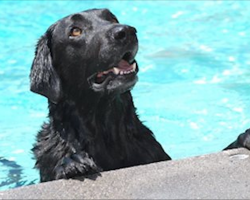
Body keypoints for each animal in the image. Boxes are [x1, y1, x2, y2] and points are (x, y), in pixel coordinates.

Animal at [30, 8, 250, 182]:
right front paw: (71, 164)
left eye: (112, 18)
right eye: (75, 30)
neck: (106, 131)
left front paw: (245, 137)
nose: (125, 31)